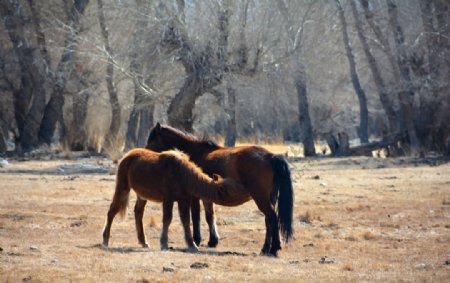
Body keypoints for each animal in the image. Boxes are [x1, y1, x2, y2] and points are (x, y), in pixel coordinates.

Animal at [103, 148, 246, 252]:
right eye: (234, 189)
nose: (247, 191)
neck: (182, 174)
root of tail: (128, 155)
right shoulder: (168, 199)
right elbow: (167, 219)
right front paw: (164, 243)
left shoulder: (184, 200)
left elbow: (186, 221)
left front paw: (192, 245)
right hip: (123, 188)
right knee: (112, 211)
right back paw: (105, 240)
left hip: (141, 195)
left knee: (138, 213)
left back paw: (144, 242)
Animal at [145, 123, 296, 256]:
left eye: (151, 140)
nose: (144, 152)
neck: (195, 153)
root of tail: (271, 156)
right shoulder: (207, 196)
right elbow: (209, 216)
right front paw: (213, 241)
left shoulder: (194, 197)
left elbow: (196, 217)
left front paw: (196, 240)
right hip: (268, 198)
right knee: (268, 220)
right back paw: (265, 249)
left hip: (261, 198)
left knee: (272, 218)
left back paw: (273, 249)